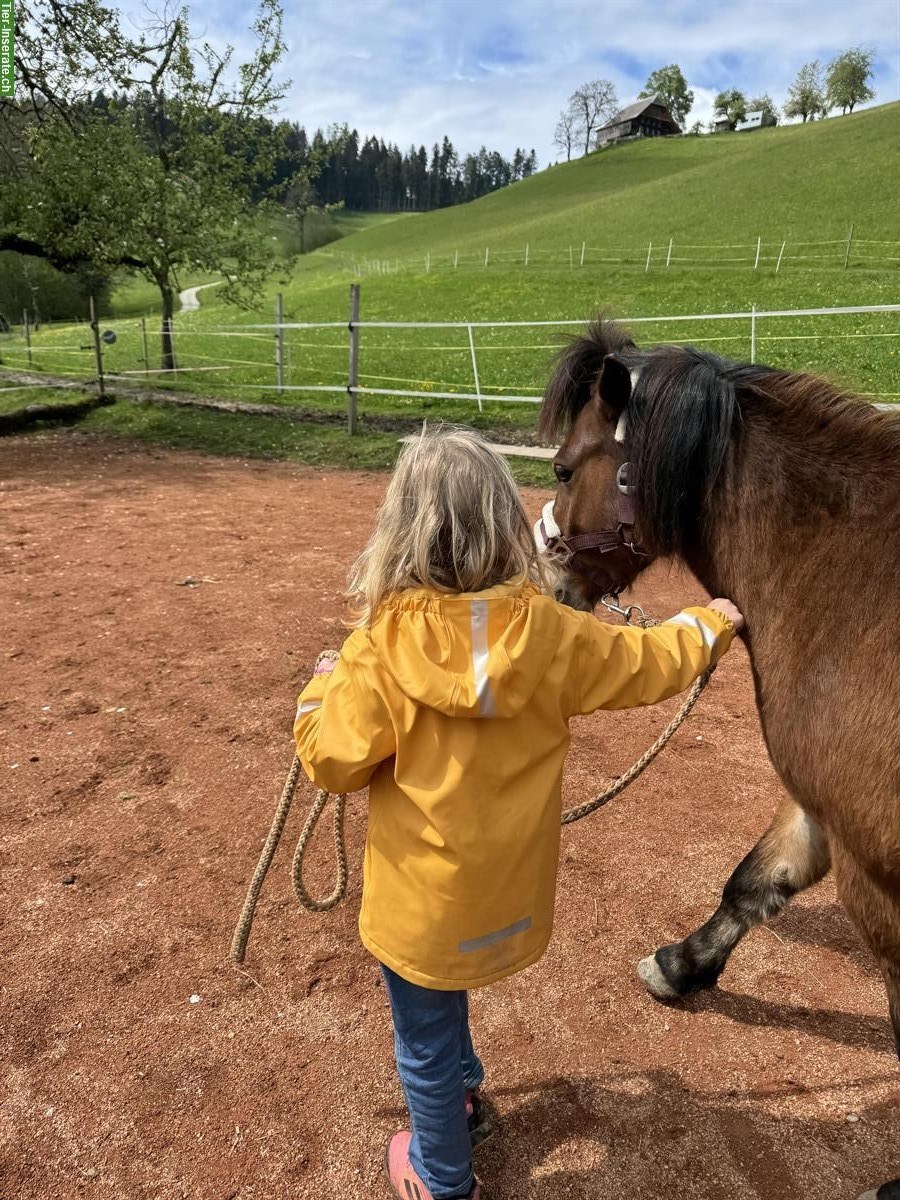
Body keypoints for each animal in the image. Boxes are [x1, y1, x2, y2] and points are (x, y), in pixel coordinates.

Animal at [542, 316, 900, 1200]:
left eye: (563, 467)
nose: (550, 583)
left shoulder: (876, 871)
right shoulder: (820, 803)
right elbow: (755, 882)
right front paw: (682, 966)